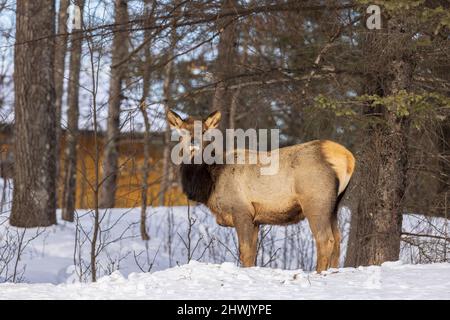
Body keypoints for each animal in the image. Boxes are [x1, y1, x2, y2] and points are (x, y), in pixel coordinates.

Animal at [166, 110, 356, 272]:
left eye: (204, 130)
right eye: (182, 131)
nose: (194, 142)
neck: (209, 183)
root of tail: (348, 158)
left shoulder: (241, 210)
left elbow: (245, 251)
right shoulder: (256, 219)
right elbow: (252, 253)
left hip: (315, 201)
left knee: (325, 240)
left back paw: (319, 272)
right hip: (334, 205)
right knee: (338, 239)